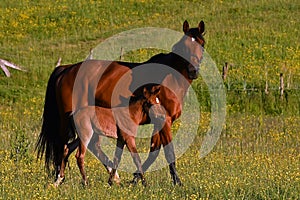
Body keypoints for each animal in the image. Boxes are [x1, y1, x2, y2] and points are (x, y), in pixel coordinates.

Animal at [34, 20, 204, 186]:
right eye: (185, 45)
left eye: (202, 44)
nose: (193, 71)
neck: (170, 77)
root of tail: (65, 70)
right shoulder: (164, 120)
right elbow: (168, 152)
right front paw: (177, 182)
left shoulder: (158, 121)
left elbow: (153, 151)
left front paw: (135, 179)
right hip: (68, 123)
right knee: (65, 146)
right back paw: (60, 178)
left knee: (89, 146)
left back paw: (112, 176)